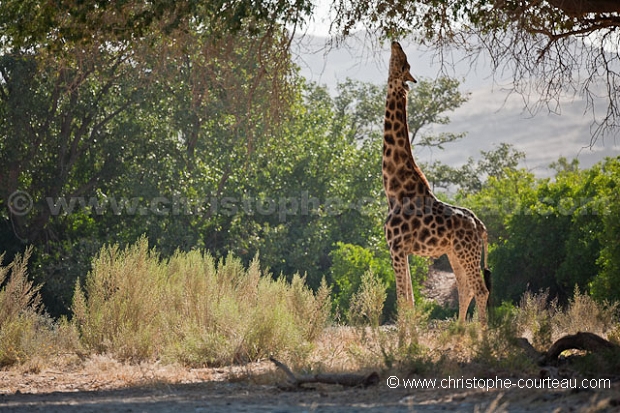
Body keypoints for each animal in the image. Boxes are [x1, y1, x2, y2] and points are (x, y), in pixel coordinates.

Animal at [380, 42, 492, 326]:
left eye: (404, 62)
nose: (395, 42)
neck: (394, 188)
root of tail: (480, 226)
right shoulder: (403, 250)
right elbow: (409, 300)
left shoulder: (396, 246)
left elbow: (402, 300)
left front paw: (404, 338)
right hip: (455, 253)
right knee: (465, 289)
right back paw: (459, 331)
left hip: (467, 251)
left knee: (480, 289)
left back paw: (482, 334)